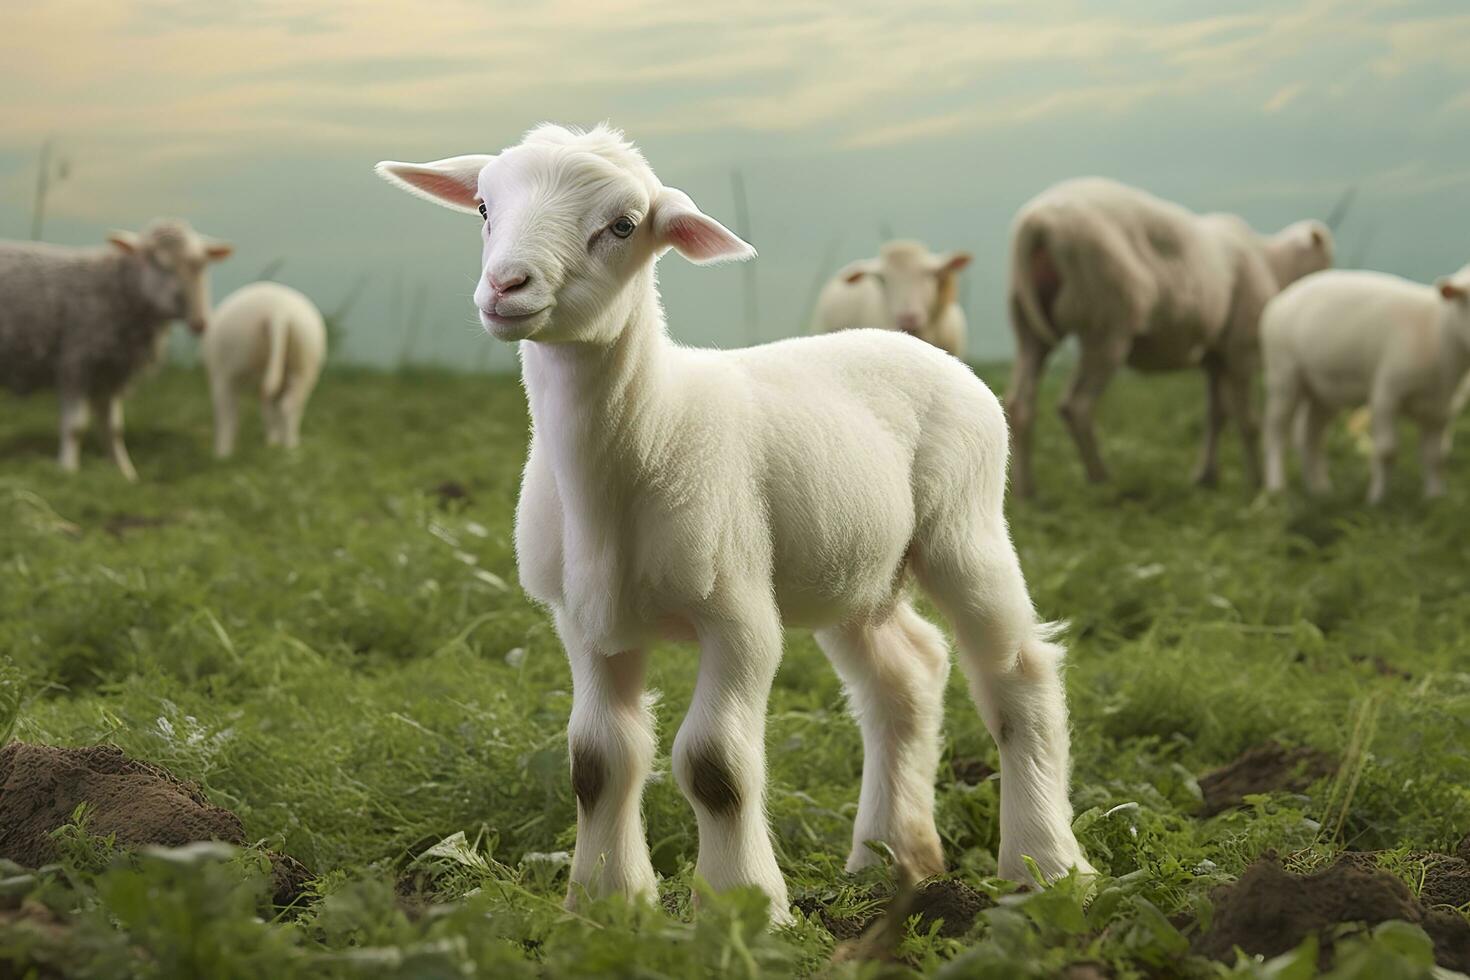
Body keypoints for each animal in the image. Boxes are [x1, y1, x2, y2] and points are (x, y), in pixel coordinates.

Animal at [199, 279, 326, 455]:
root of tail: (278, 310)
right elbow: (270, 411)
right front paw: (273, 442)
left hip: (230, 368)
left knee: (228, 412)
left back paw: (222, 454)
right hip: (304, 363)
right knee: (290, 405)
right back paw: (290, 449)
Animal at [1005, 177, 1340, 499]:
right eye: (1325, 260)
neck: (1273, 264)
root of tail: (1038, 222)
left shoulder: (1214, 356)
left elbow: (1216, 415)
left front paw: (1206, 477)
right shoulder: (1239, 349)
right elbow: (1247, 420)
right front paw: (1255, 484)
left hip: (1029, 325)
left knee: (1019, 405)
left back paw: (1025, 492)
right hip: (1108, 321)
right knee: (1076, 406)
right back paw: (1101, 481)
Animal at [1258, 264, 1470, 502]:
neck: (1439, 334)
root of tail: (1281, 298)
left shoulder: (1440, 412)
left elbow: (1436, 457)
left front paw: (1435, 498)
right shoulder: (1386, 394)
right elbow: (1387, 451)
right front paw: (1377, 499)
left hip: (1323, 391)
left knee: (1309, 436)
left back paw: (1320, 490)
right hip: (1283, 374)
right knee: (1276, 433)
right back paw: (1277, 489)